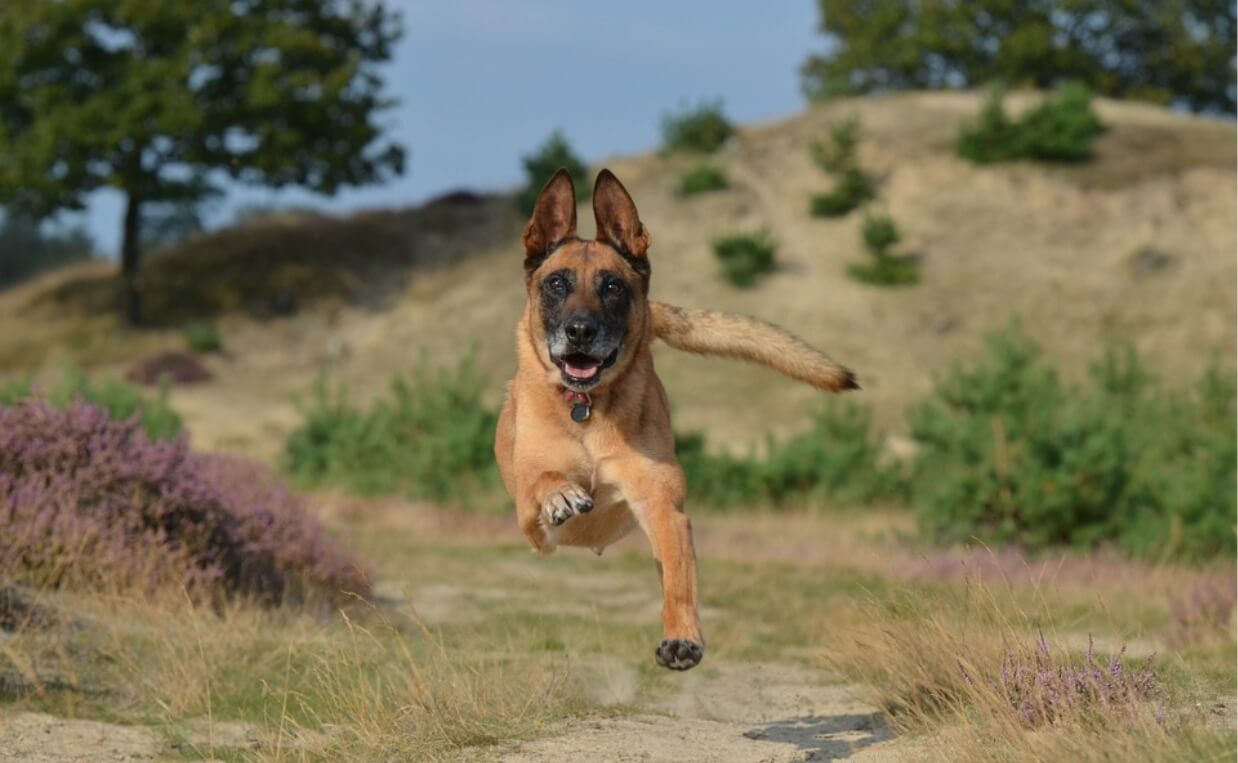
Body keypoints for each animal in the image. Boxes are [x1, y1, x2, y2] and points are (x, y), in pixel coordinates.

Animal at [487, 167, 856, 668]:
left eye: (612, 286)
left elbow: (679, 581)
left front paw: (683, 637)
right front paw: (561, 493)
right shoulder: (531, 518)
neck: (587, 408)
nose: (580, 331)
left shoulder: (663, 508)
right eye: (556, 284)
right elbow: (544, 480)